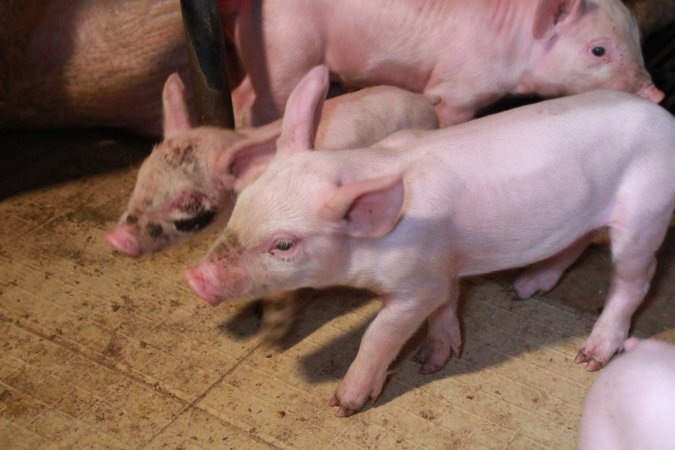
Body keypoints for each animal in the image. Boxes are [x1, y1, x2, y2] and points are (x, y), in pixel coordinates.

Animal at [185, 65, 675, 417]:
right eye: (243, 202)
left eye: (284, 245)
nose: (195, 278)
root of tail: (666, 121)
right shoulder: (443, 267)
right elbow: (446, 304)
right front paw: (435, 359)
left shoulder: (415, 283)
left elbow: (379, 334)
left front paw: (345, 403)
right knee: (576, 244)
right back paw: (521, 289)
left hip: (645, 209)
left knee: (635, 279)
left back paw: (589, 357)